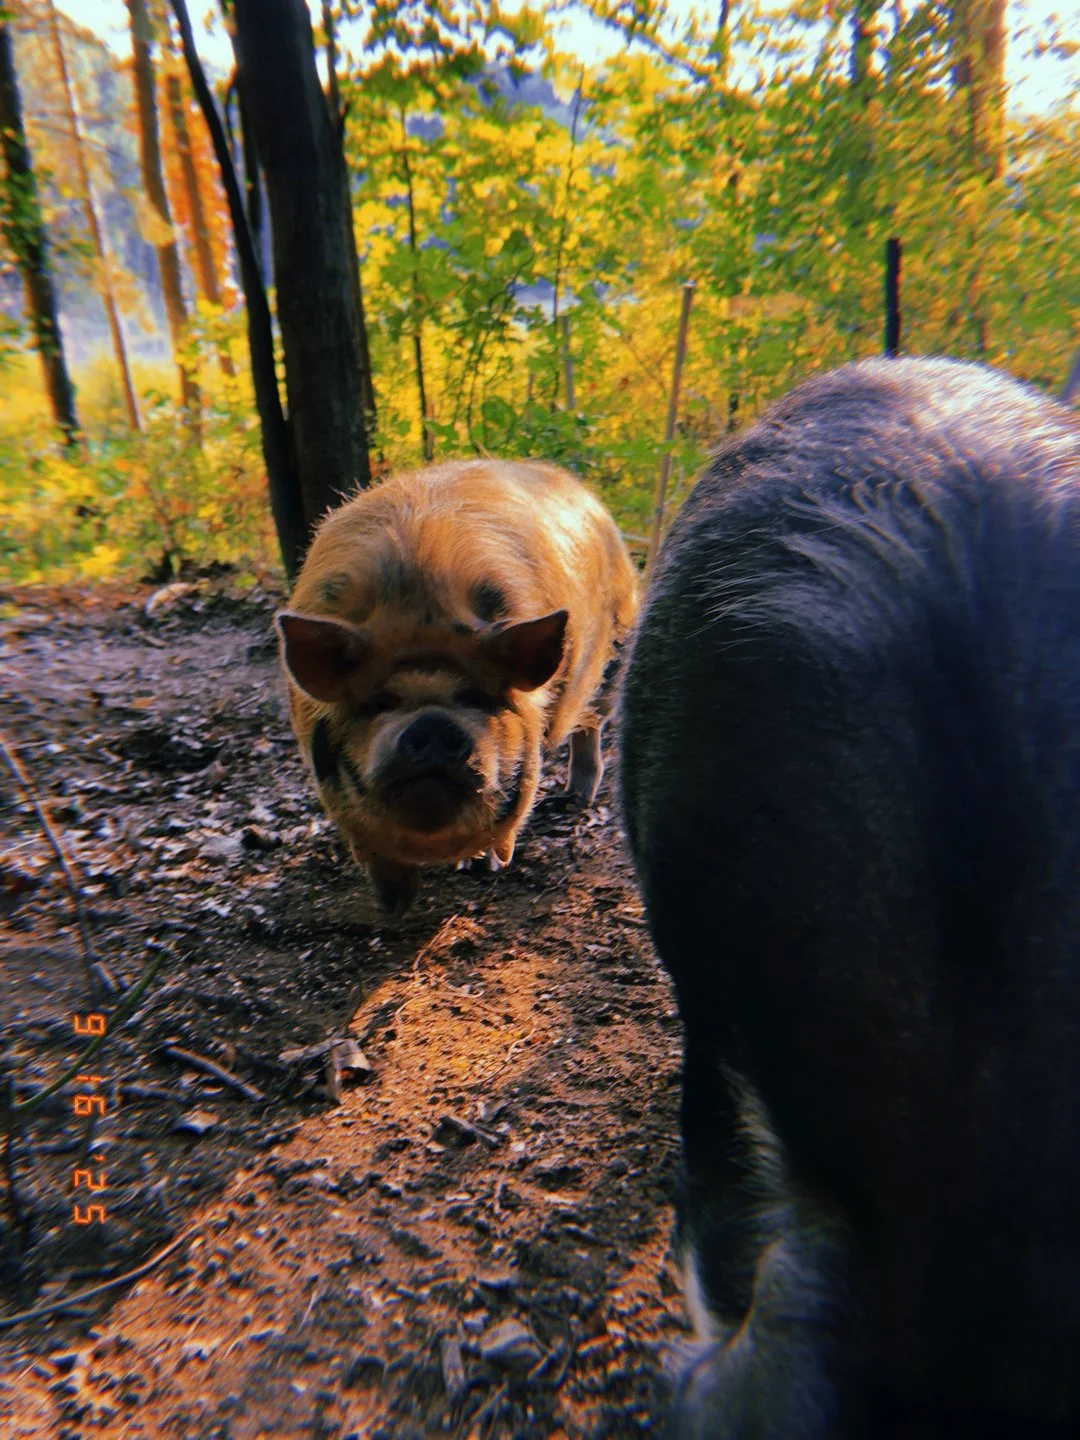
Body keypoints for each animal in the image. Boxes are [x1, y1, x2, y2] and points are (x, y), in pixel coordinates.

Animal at [277, 459, 638, 913]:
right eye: (382, 701)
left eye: (474, 698)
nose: (433, 724)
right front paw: (392, 905)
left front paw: (486, 866)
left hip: (615, 660)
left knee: (590, 727)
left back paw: (577, 797)